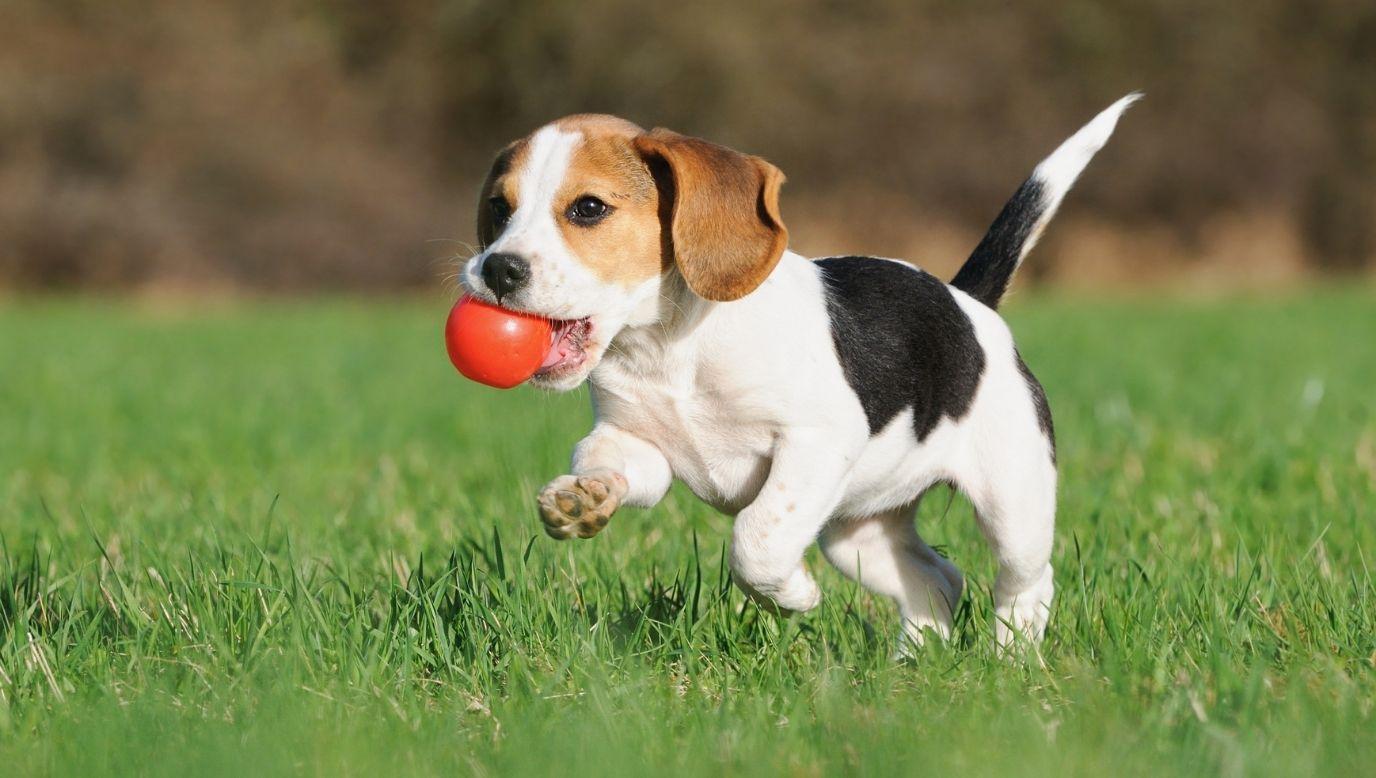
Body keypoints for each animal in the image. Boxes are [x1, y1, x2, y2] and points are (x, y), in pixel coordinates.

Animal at [462, 94, 1139, 647]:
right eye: (498, 208)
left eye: (588, 208)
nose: (496, 269)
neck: (668, 348)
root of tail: (966, 301)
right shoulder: (638, 444)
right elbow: (607, 461)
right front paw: (583, 498)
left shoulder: (815, 441)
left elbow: (757, 539)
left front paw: (793, 596)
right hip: (857, 534)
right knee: (938, 581)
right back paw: (913, 666)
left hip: (1013, 503)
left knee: (1026, 582)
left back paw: (1012, 660)